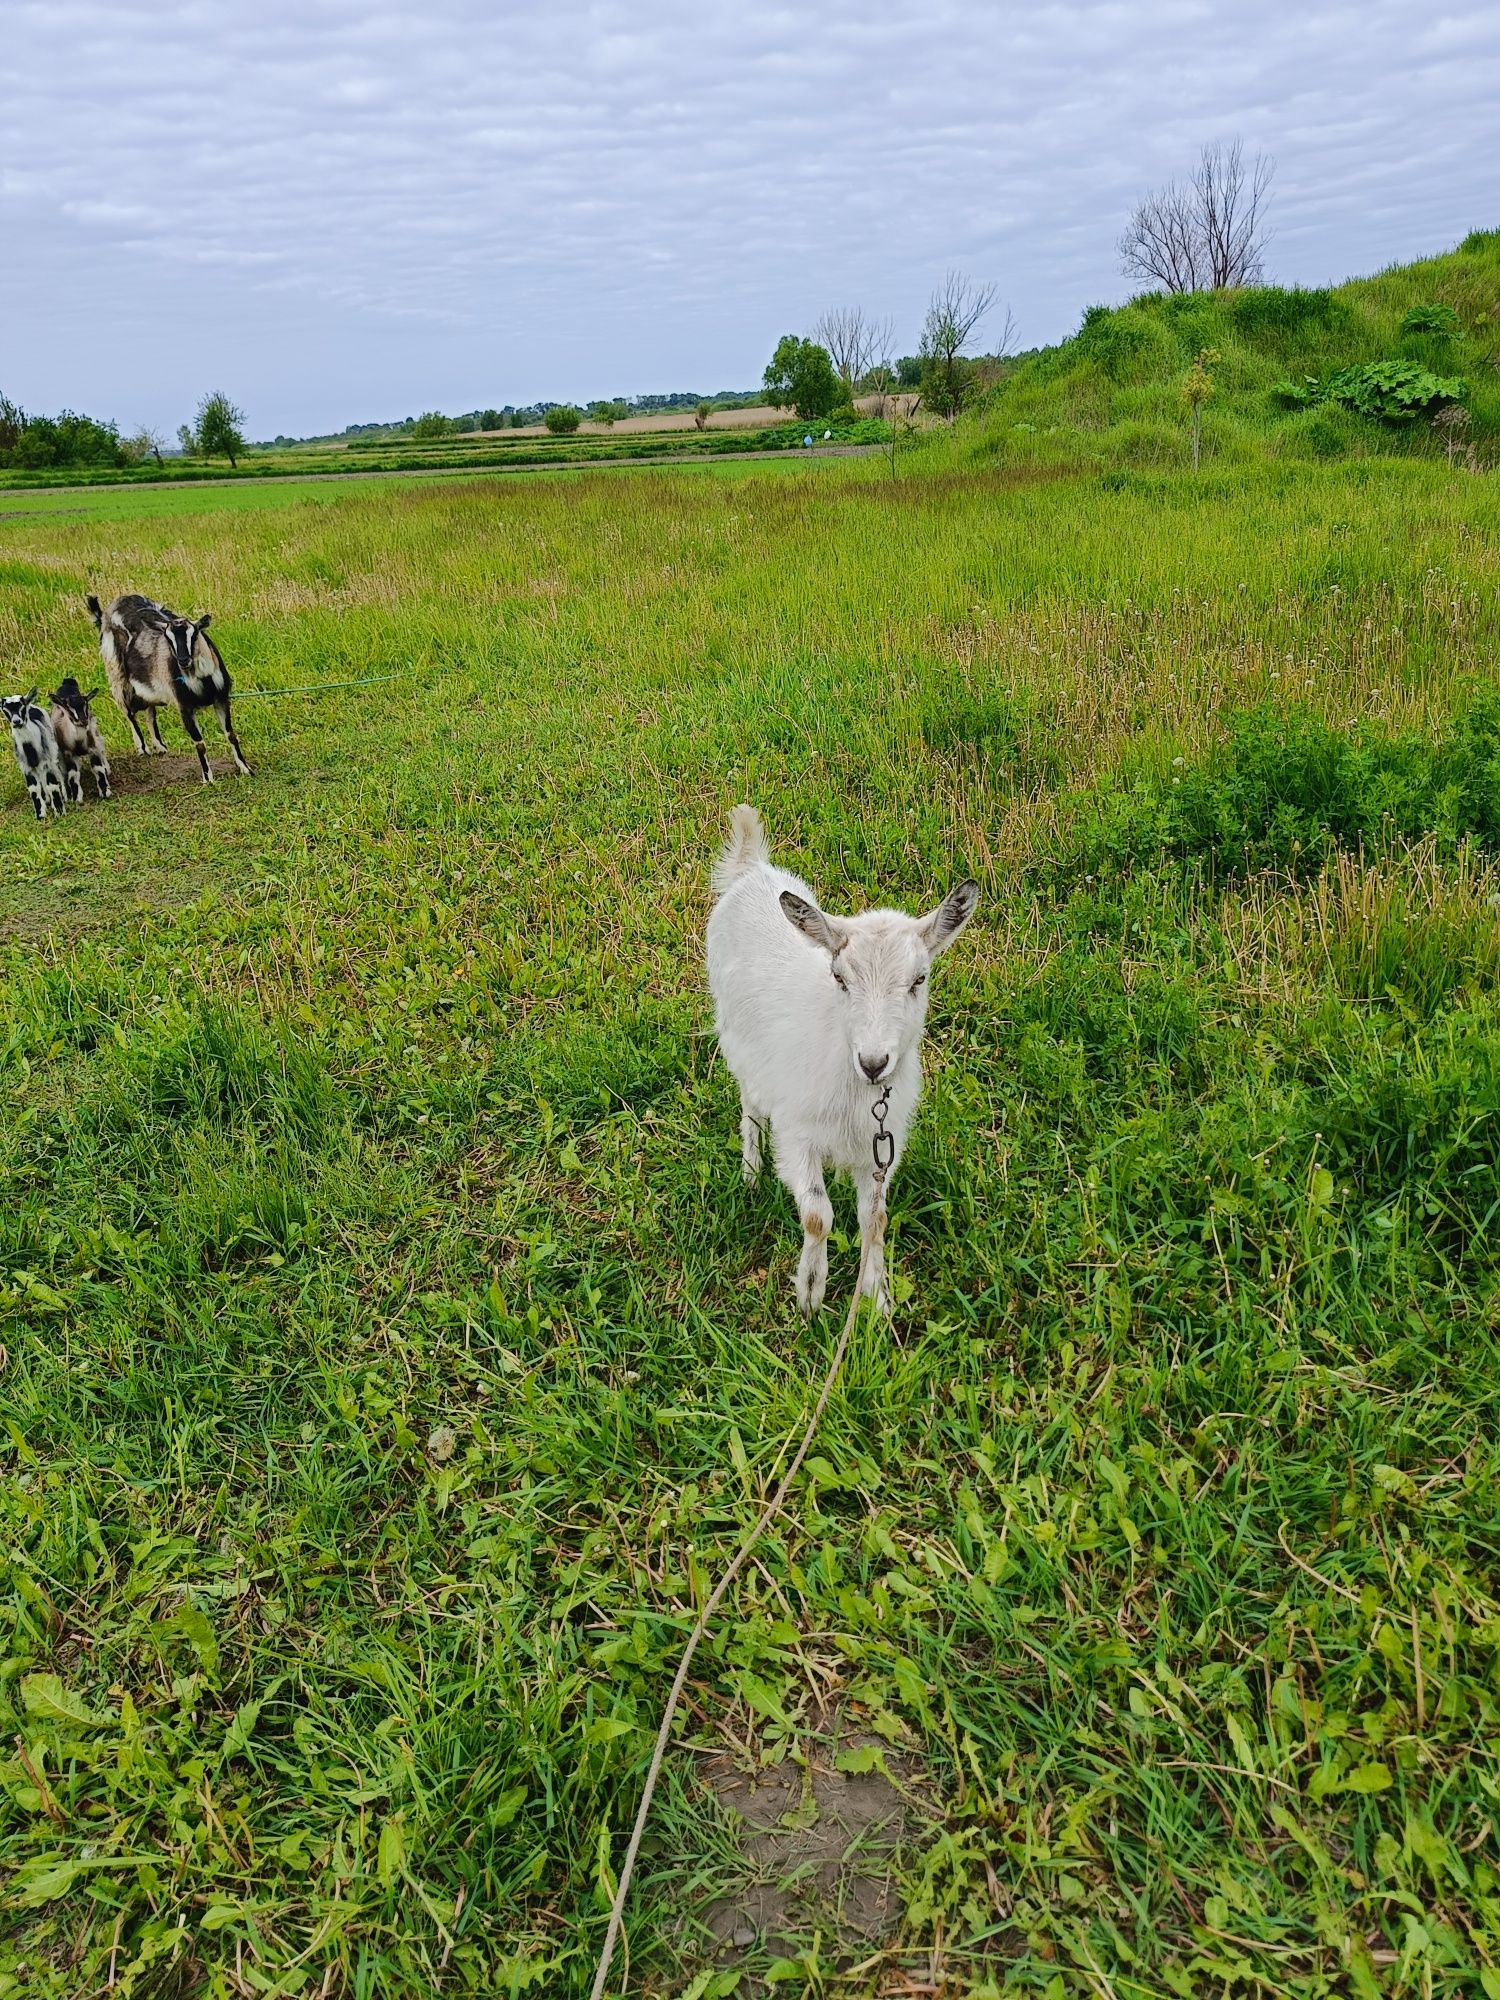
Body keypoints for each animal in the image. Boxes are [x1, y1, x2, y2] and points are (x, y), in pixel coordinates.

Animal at [712, 804, 980, 1320]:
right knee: (750, 1102)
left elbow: (874, 1219)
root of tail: (751, 867)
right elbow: (818, 1216)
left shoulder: (883, 1147)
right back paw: (751, 1171)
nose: (874, 1062)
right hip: (738, 1040)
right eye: (839, 977)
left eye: (920, 978)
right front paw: (810, 1294)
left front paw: (877, 1299)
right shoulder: (796, 1135)